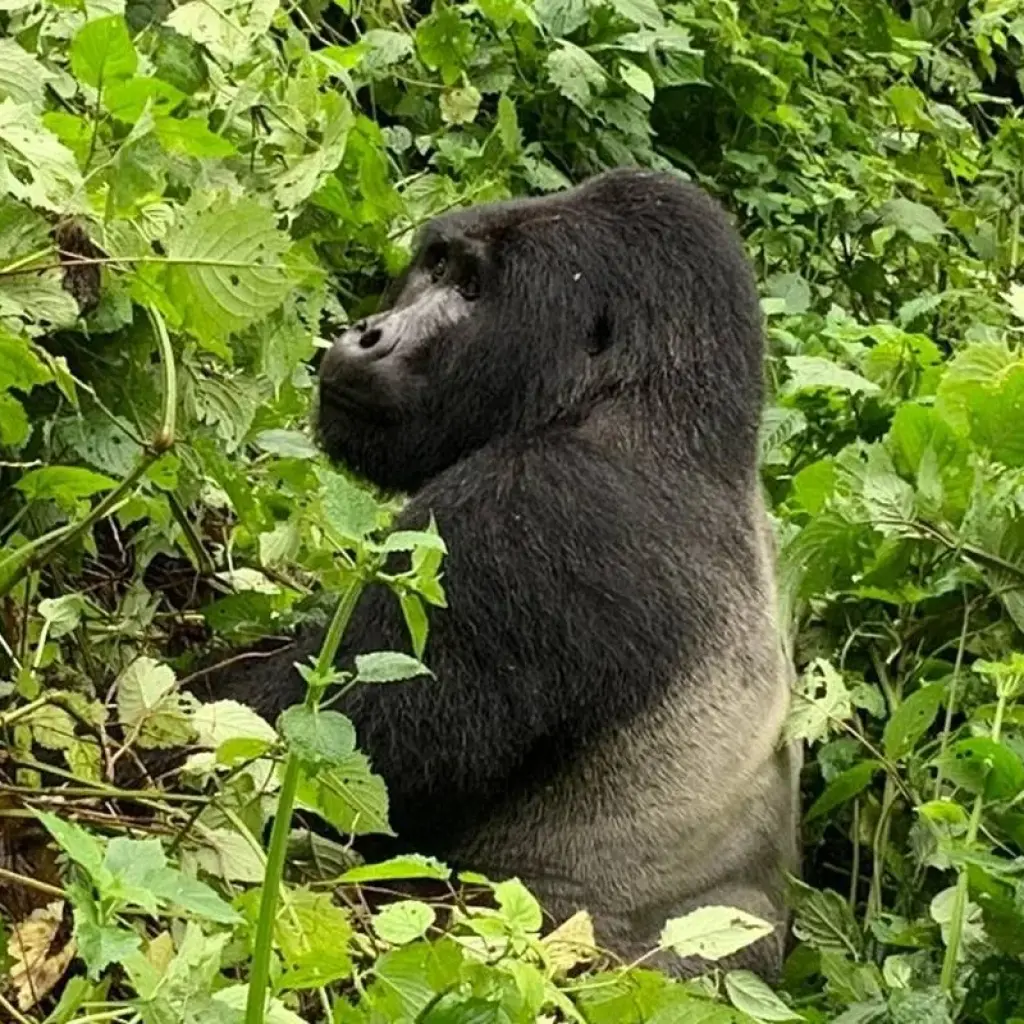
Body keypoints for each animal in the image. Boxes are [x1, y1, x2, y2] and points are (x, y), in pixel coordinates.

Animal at [199, 167, 801, 979]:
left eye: (473, 289)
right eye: (436, 266)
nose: (368, 334)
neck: (646, 406)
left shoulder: (536, 507)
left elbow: (268, 741)